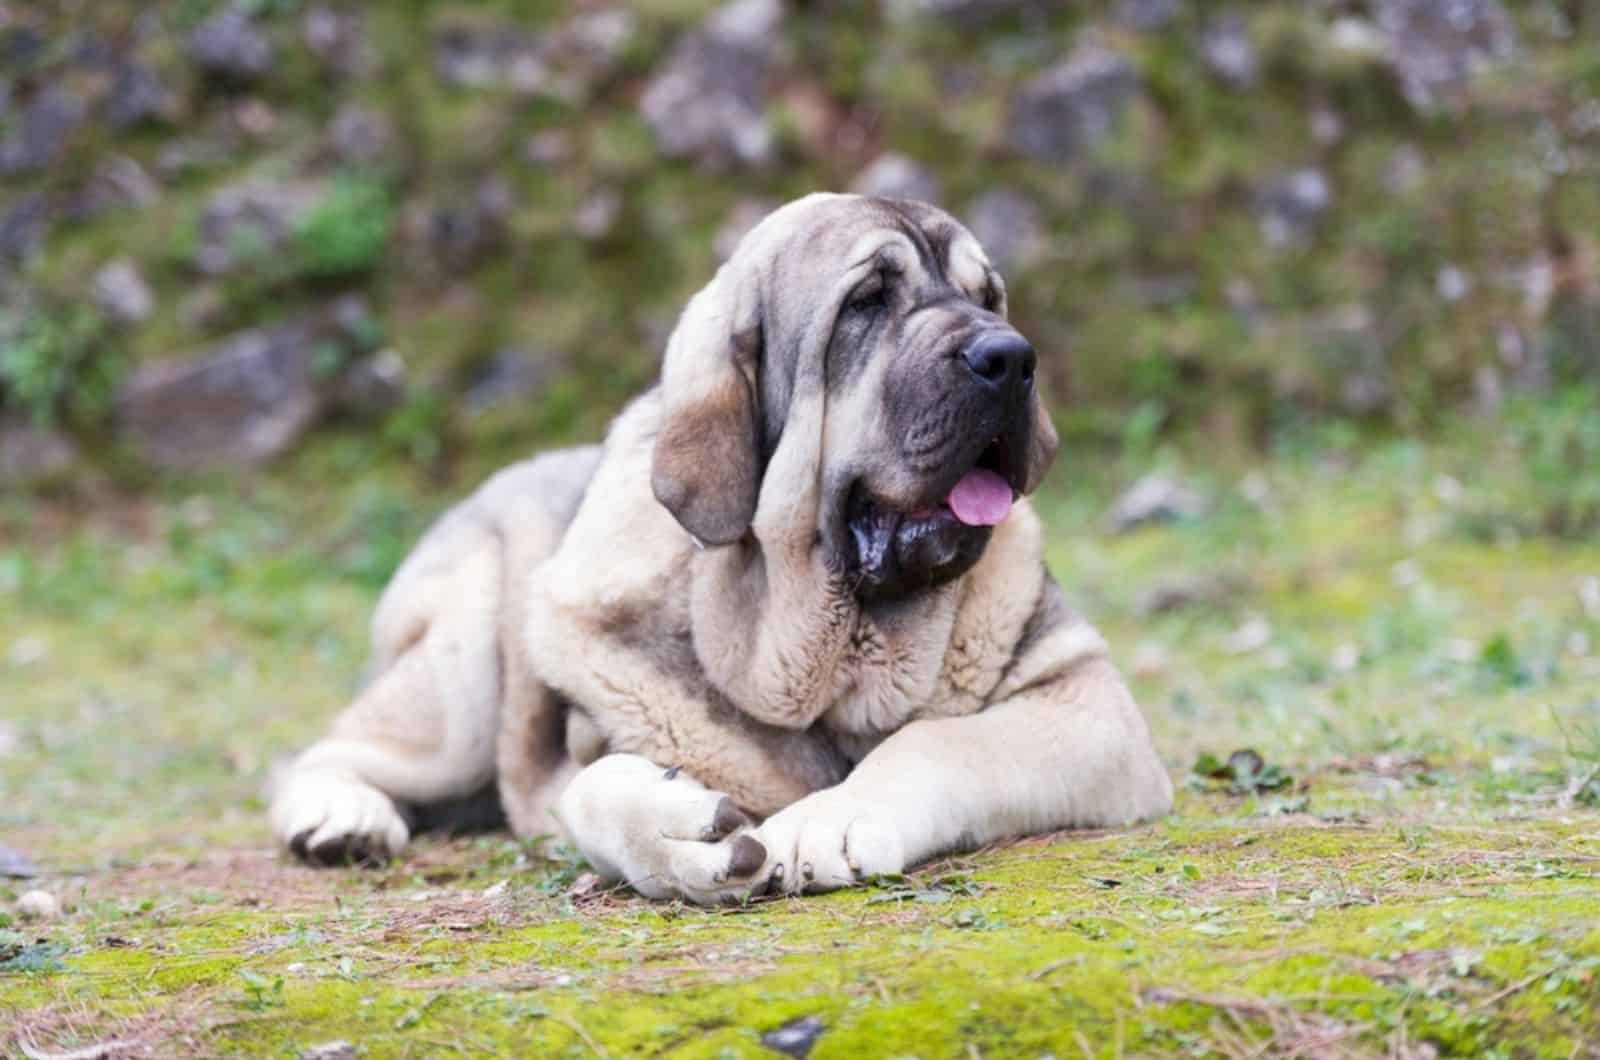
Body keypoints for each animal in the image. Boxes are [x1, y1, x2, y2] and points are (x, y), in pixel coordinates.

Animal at [272, 192, 1177, 903]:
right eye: (867, 302)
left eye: (988, 297)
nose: (1011, 357)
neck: (831, 652)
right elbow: (587, 793)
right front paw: (680, 836)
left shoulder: (1087, 701)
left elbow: (939, 739)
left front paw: (833, 816)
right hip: (463, 662)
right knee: (337, 748)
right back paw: (342, 816)